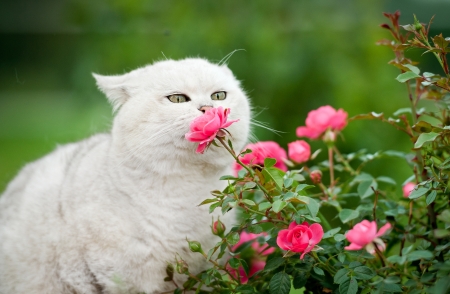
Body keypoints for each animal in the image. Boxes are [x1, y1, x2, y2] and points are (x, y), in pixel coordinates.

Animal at [0, 58, 251, 294]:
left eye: (218, 96)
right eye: (177, 99)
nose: (208, 108)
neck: (187, 191)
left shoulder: (203, 273)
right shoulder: (101, 277)